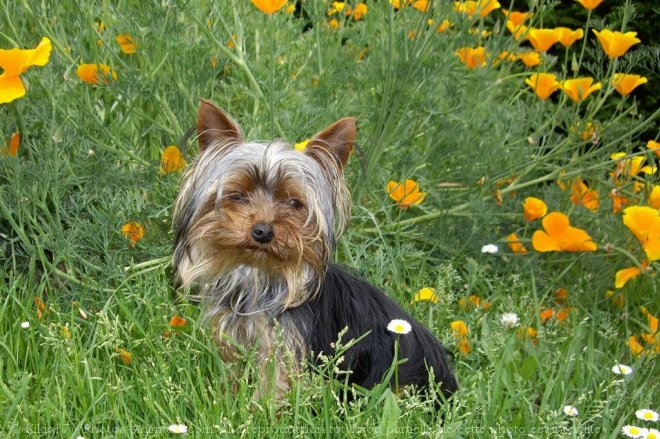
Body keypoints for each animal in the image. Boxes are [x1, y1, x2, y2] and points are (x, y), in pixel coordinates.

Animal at [173, 99, 456, 402]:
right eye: (237, 196)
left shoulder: (282, 349)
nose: (262, 231)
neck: (261, 275)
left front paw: (257, 410)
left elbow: (270, 389)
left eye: (294, 203)